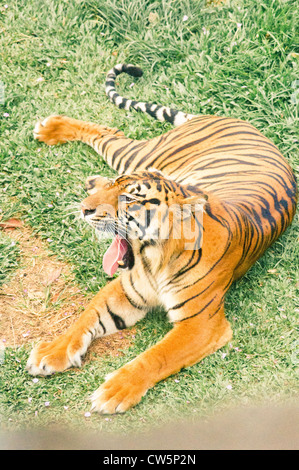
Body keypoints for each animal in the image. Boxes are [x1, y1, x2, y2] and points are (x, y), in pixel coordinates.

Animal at [27, 63, 298, 414]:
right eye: (115, 188)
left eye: (129, 198)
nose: (86, 209)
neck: (153, 257)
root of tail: (234, 119)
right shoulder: (125, 290)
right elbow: (84, 318)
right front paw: (52, 352)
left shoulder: (200, 323)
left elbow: (156, 356)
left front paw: (114, 391)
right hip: (140, 156)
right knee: (107, 132)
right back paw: (54, 131)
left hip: (140, 155)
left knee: (111, 133)